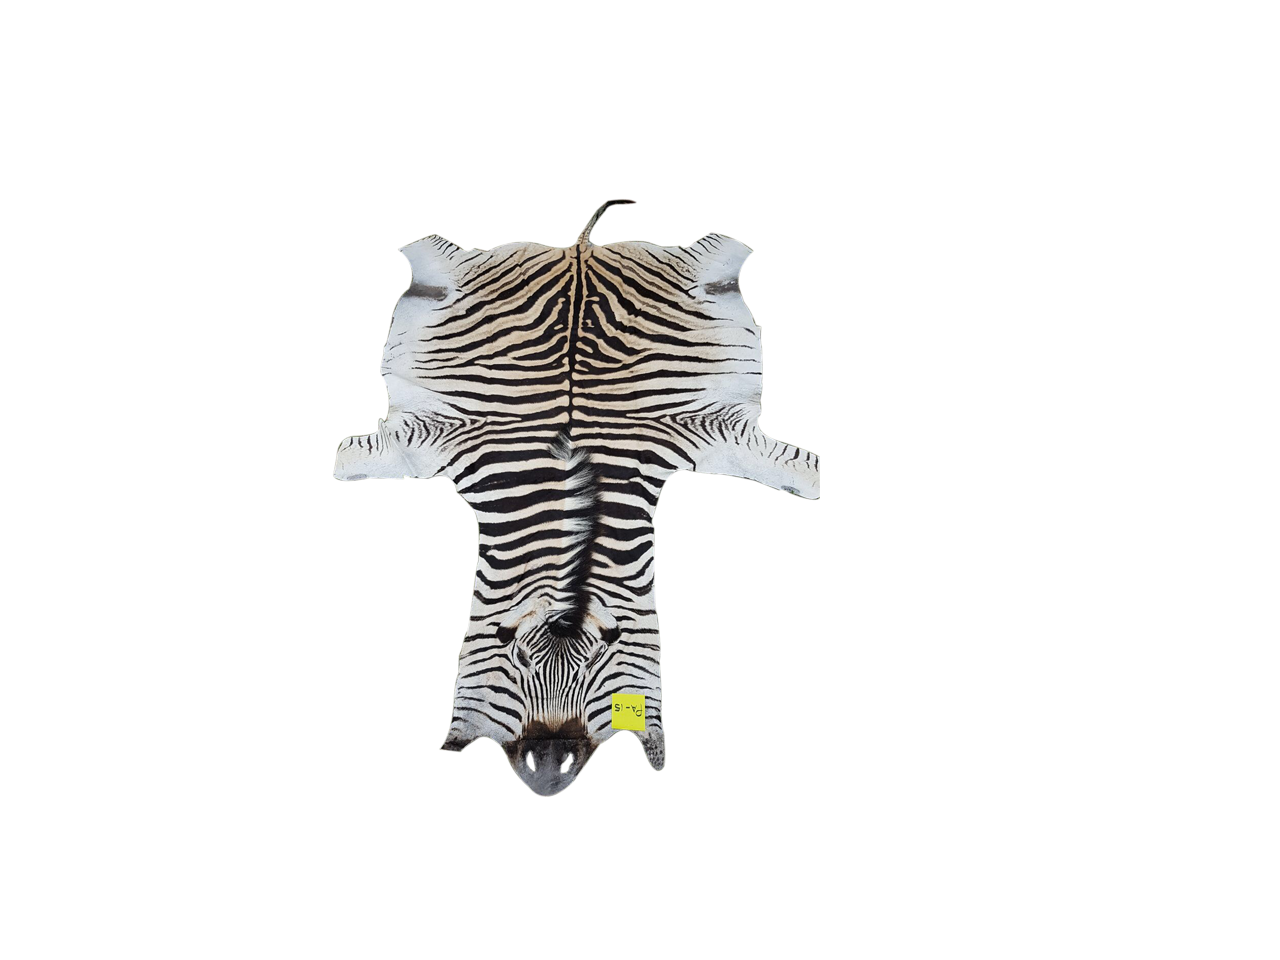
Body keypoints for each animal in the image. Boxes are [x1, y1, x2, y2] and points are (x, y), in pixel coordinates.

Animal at [333, 200, 820, 796]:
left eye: (595, 665)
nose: (547, 772)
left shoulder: (715, 431)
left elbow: (800, 469)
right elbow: (350, 457)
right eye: (516, 662)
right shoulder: (429, 435)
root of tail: (579, 249)